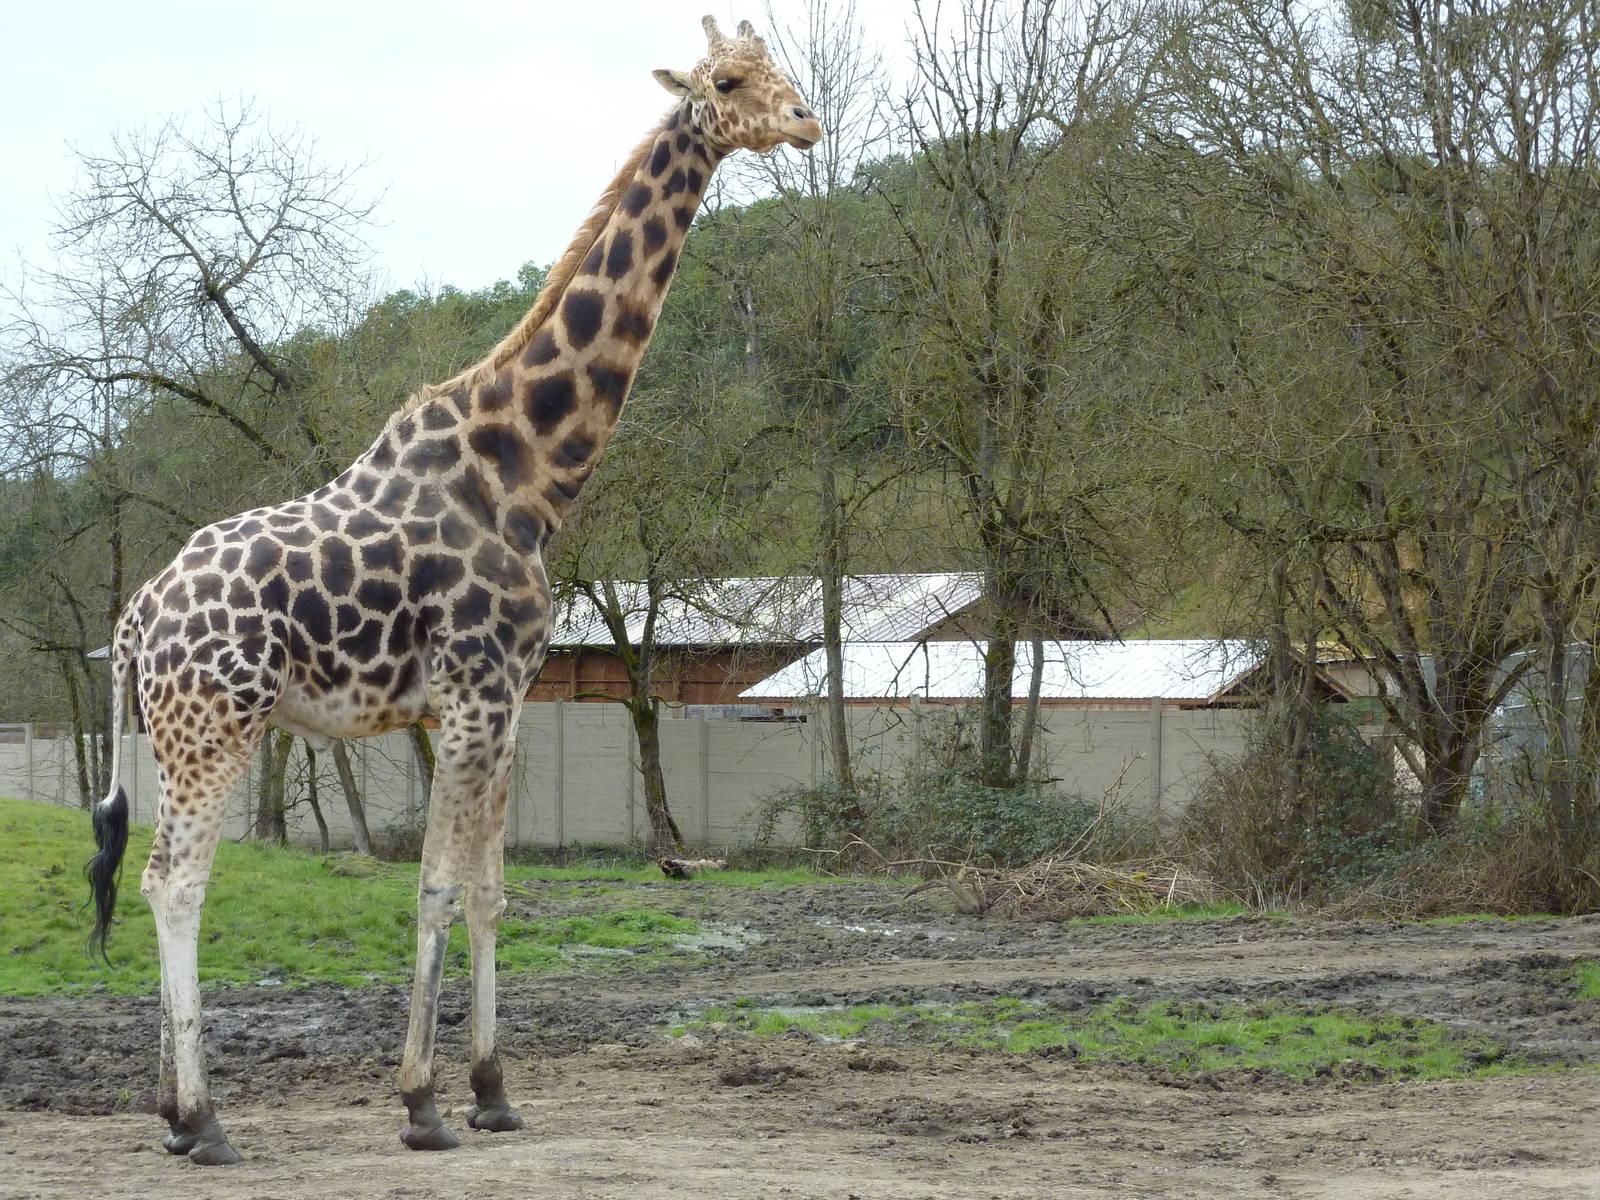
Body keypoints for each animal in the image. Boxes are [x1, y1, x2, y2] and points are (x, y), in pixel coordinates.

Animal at [82, 16, 822, 1165]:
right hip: (217, 723)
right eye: (733, 78)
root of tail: (134, 620)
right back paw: (205, 1121)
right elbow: (432, 887)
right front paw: (423, 1104)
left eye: (782, 64)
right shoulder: (472, 696)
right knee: (175, 880)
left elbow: (488, 891)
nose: (806, 120)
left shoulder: (507, 702)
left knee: (159, 870)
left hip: (172, 730)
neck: (525, 474)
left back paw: (169, 1115)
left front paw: (492, 1091)